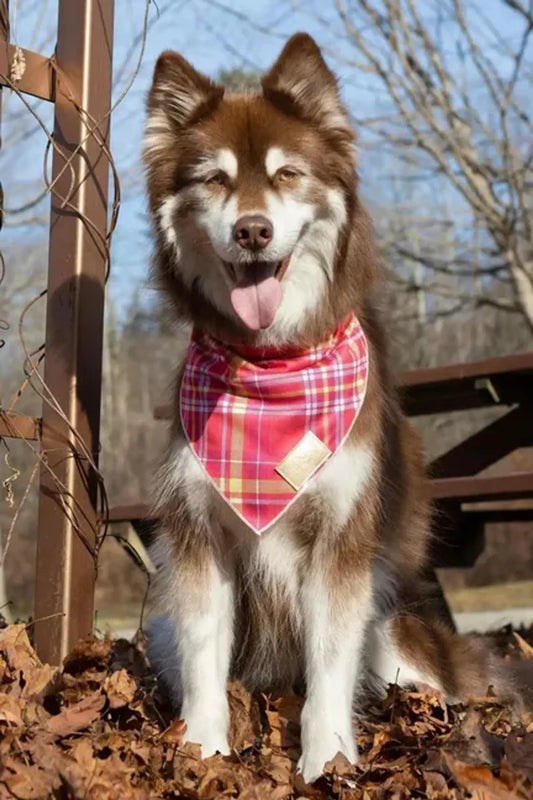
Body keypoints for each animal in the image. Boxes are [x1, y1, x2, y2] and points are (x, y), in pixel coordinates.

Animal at [144, 36, 508, 780]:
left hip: (395, 630)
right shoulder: (197, 536)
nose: (253, 232)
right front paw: (203, 753)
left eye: (287, 174)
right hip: (158, 626)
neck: (272, 366)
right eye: (214, 181)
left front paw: (326, 763)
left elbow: (330, 668)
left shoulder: (342, 538)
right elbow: (203, 660)